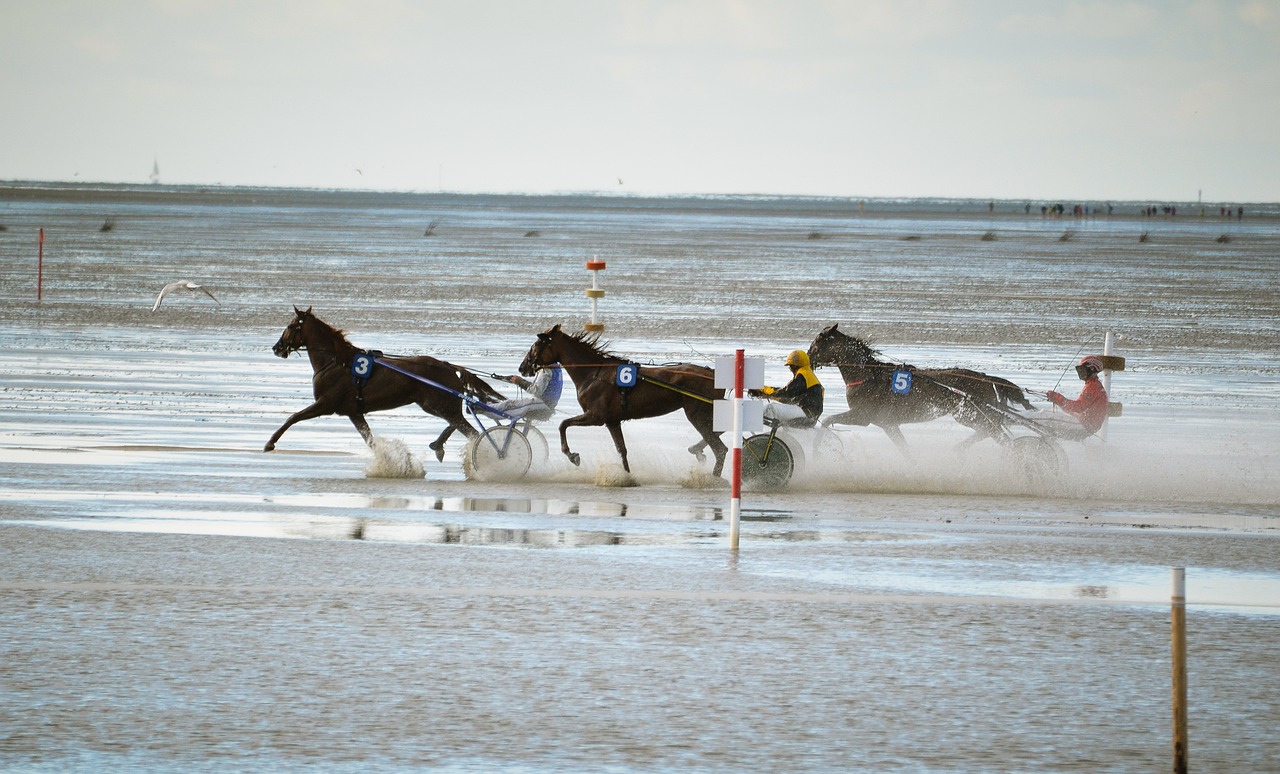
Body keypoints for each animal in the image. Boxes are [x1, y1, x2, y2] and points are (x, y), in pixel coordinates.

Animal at [262, 304, 501, 455]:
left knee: (468, 429)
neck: (335, 362)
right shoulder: (354, 412)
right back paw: (438, 445)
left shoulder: (325, 404)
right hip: (433, 404)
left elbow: (293, 417)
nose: (277, 348)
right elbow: (369, 439)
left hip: (439, 404)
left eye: (290, 326)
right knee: (458, 424)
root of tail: (448, 366)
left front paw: (270, 443)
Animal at [517, 321, 727, 475]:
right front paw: (627, 476)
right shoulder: (612, 421)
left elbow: (563, 424)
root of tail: (713, 373)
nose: (522, 367)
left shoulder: (596, 416)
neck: (593, 373)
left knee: (720, 448)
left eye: (536, 345)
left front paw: (572, 455)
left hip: (697, 413)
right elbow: (622, 451)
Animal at [803, 324, 1034, 455]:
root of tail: (985, 377)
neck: (868, 376)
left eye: (817, 342)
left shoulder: (863, 415)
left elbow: (827, 420)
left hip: (971, 414)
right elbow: (905, 450)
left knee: (998, 434)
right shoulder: (888, 424)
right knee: (994, 429)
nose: (807, 356)